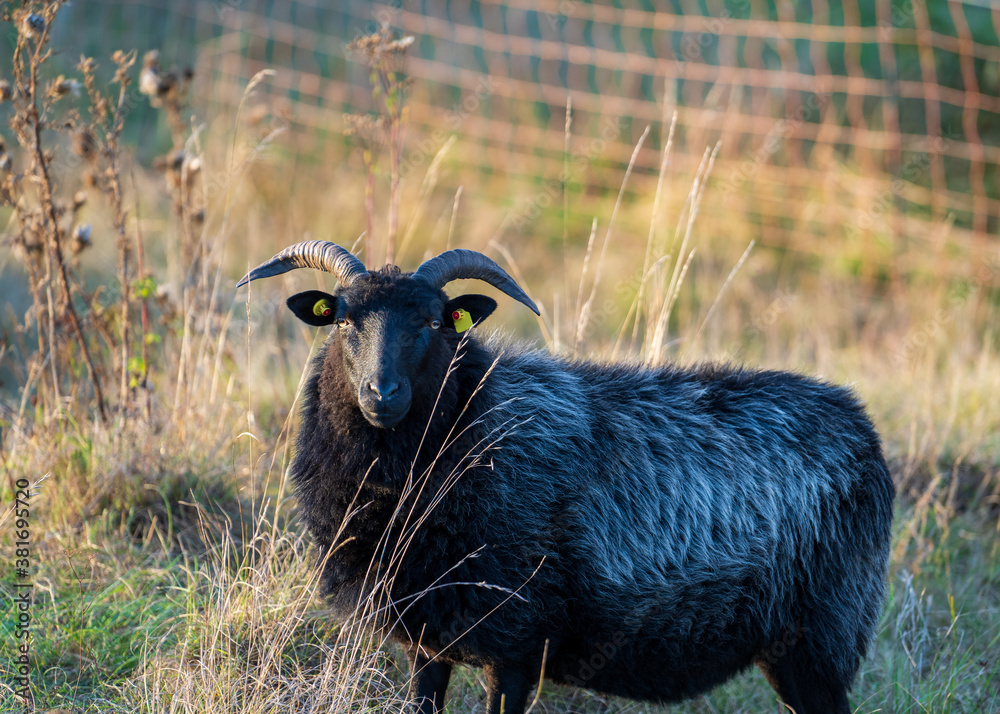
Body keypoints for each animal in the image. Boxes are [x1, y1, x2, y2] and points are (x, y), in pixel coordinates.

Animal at [238, 240, 895, 714]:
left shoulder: (516, 641)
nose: (383, 394)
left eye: (433, 323)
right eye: (343, 321)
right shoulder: (428, 638)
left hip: (821, 641)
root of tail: (861, 424)